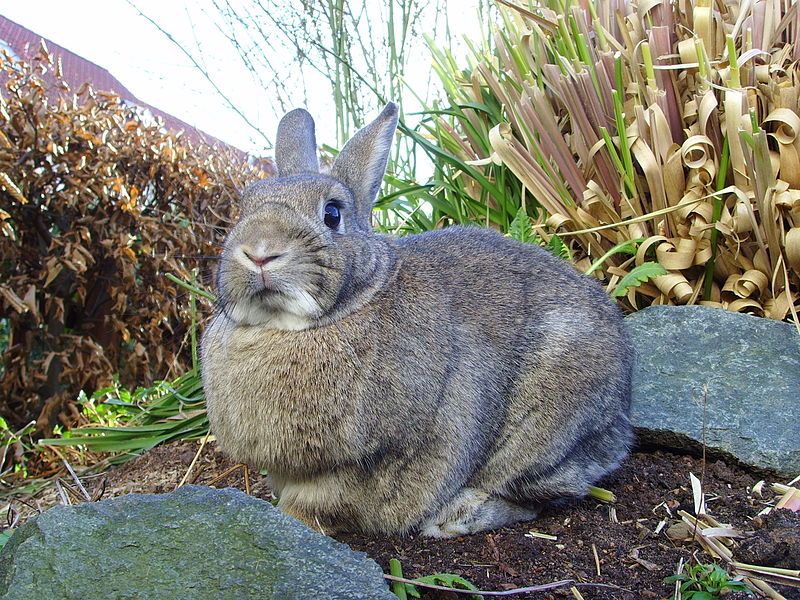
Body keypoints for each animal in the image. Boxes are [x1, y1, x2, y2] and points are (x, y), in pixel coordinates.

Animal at [198, 101, 632, 536]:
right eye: (244, 207)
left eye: (332, 214)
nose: (259, 252)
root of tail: (622, 418)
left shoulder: (361, 463)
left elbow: (316, 503)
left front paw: (291, 520)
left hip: (542, 430)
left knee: (540, 492)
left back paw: (456, 517)